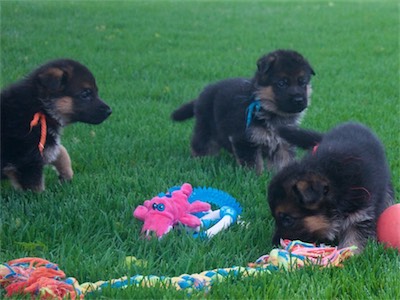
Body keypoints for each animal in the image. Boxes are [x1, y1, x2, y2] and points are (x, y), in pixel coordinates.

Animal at [1, 58, 111, 192]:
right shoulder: (28, 160)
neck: (40, 107)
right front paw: (41, 196)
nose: (109, 111)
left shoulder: (47, 143)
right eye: (85, 94)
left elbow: (61, 151)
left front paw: (66, 175)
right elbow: (35, 185)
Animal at [170, 49, 314, 173]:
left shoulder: (284, 144)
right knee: (201, 144)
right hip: (205, 128)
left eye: (302, 82)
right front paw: (255, 178)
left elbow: (283, 163)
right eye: (282, 83)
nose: (299, 100)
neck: (267, 108)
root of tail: (203, 93)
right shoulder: (245, 139)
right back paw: (201, 161)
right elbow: (253, 164)